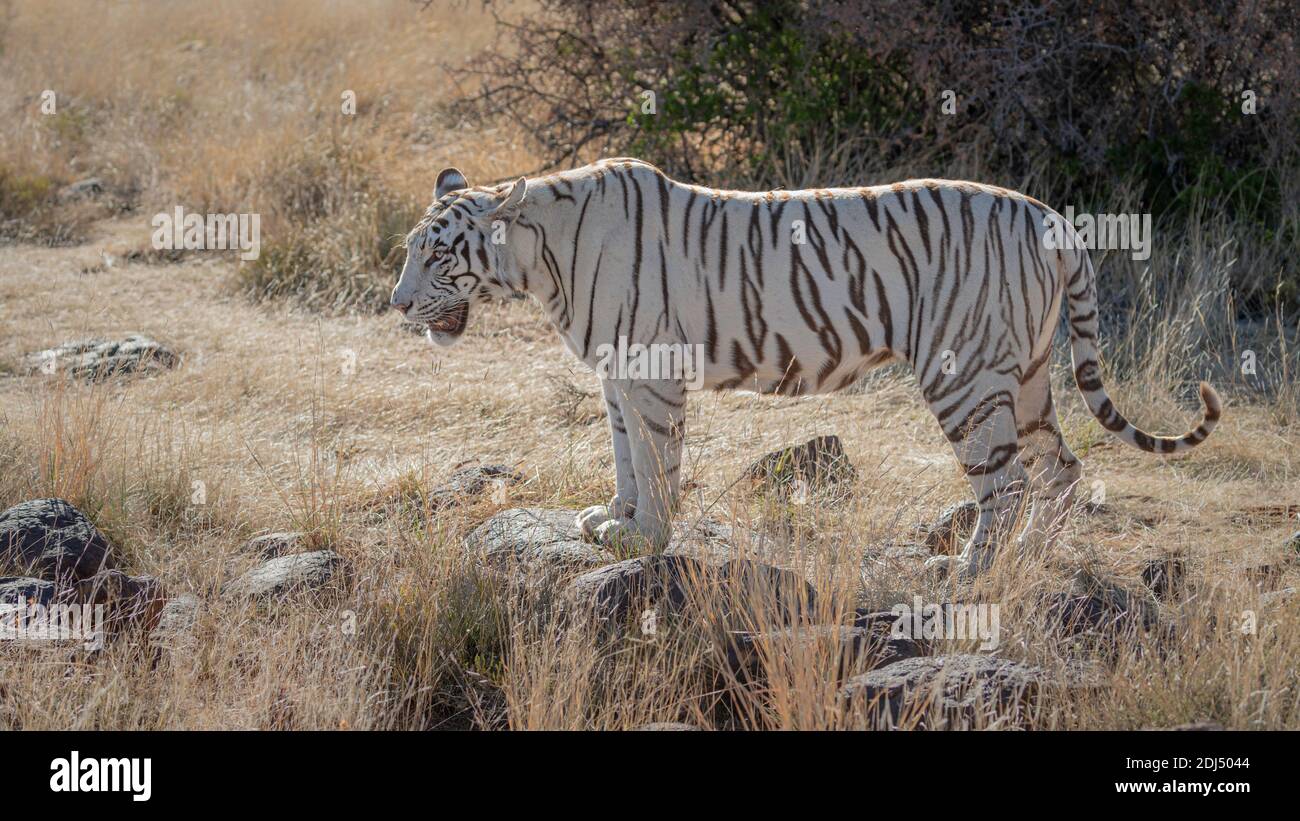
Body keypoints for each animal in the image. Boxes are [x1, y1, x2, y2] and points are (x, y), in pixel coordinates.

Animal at [389, 158, 1220, 580]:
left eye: (437, 253)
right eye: (409, 249)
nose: (396, 304)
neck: (539, 261)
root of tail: (1051, 217)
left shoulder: (650, 367)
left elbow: (656, 458)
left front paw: (644, 537)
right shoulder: (614, 371)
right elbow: (624, 451)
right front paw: (611, 518)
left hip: (967, 378)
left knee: (1008, 481)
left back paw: (971, 570)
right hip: (1027, 377)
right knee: (1061, 466)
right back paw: (1028, 560)